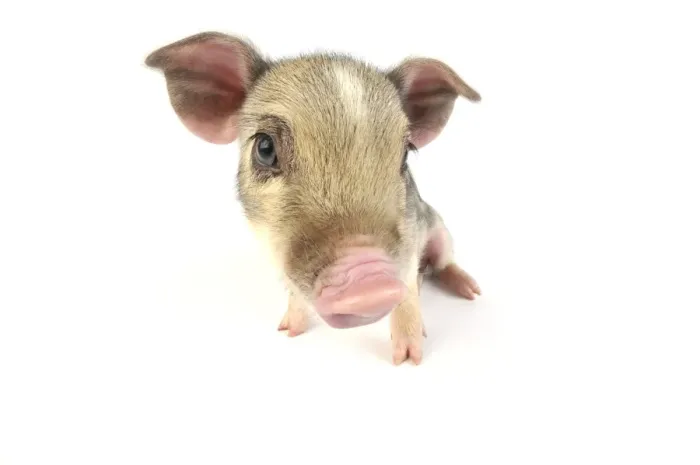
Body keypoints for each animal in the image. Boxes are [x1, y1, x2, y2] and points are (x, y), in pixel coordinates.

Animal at [144, 31, 482, 365]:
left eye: (405, 154)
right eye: (265, 148)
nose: (369, 276)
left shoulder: (410, 242)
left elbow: (408, 296)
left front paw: (408, 360)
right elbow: (295, 294)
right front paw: (288, 331)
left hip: (440, 229)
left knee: (442, 264)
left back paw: (471, 291)